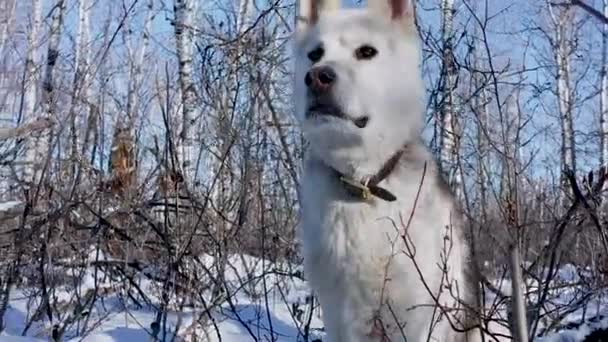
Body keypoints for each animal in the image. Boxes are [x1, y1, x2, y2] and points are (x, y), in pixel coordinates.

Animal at [292, 0, 510, 342]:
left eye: (367, 51)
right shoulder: (342, 316)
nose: (316, 77)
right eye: (315, 53)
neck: (365, 185)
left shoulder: (421, 315)